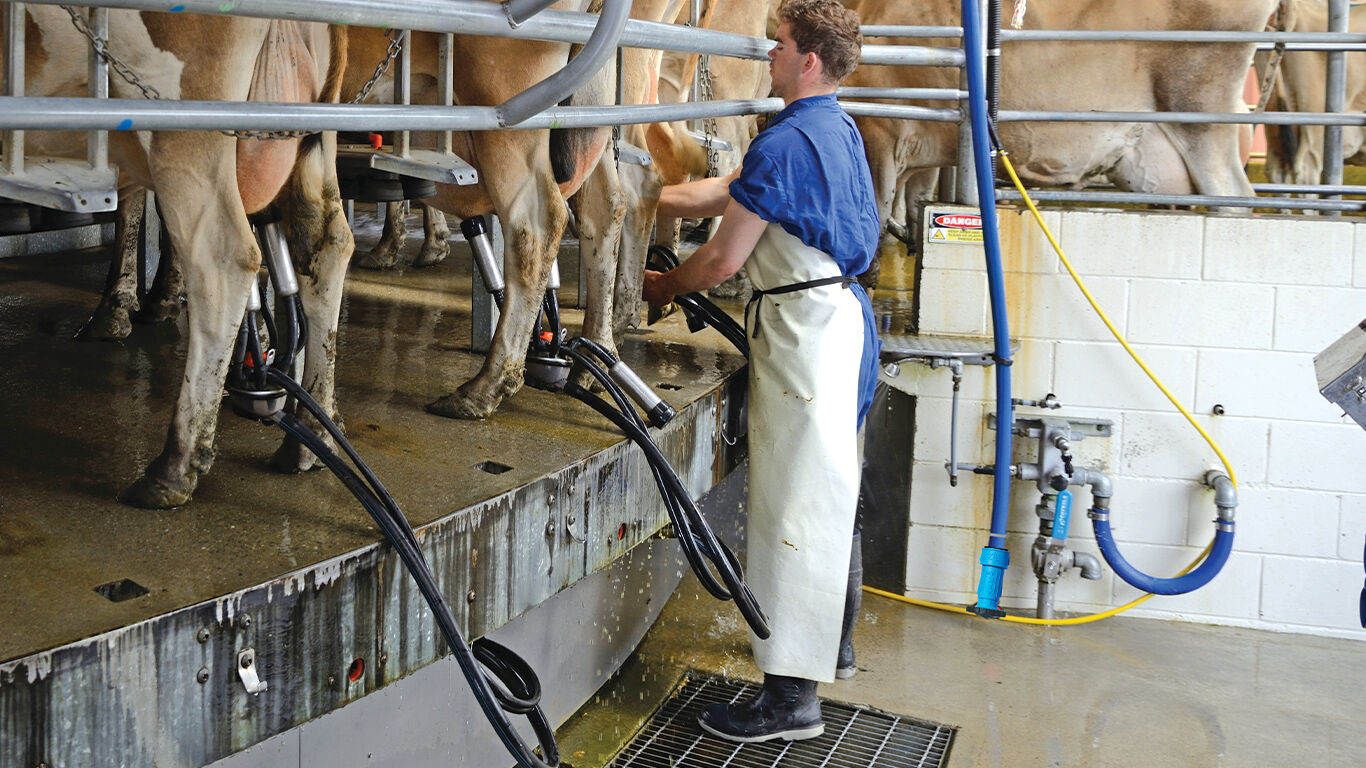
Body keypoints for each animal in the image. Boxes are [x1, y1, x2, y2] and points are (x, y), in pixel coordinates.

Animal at [10, 8, 352, 508]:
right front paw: (123, 309)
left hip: (181, 125)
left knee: (222, 259)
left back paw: (174, 466)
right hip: (312, 137)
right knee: (327, 245)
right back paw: (309, 438)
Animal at [846, 0, 1273, 269]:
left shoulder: (879, 133)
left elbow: (876, 224)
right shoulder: (921, 152)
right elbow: (915, 210)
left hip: (1199, 109)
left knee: (1232, 200)